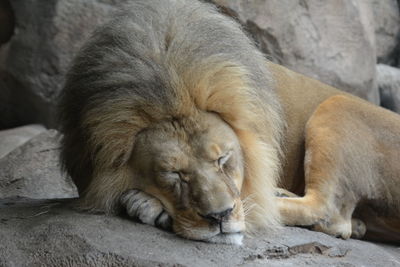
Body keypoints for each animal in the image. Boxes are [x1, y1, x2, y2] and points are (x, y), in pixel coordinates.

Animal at [58, 0, 400, 245]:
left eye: (224, 159)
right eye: (174, 173)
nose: (219, 216)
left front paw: (145, 204)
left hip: (337, 105)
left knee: (327, 213)